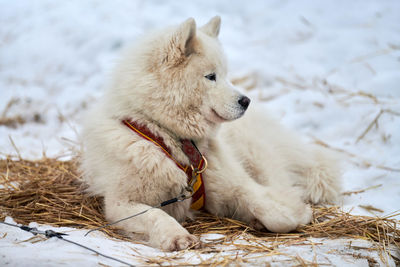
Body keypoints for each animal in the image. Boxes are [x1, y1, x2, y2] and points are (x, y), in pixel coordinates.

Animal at [80, 16, 340, 251]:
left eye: (225, 75)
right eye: (211, 76)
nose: (246, 101)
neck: (170, 137)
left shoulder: (231, 185)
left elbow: (272, 211)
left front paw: (295, 213)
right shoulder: (121, 203)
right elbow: (155, 215)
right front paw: (176, 236)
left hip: (258, 159)